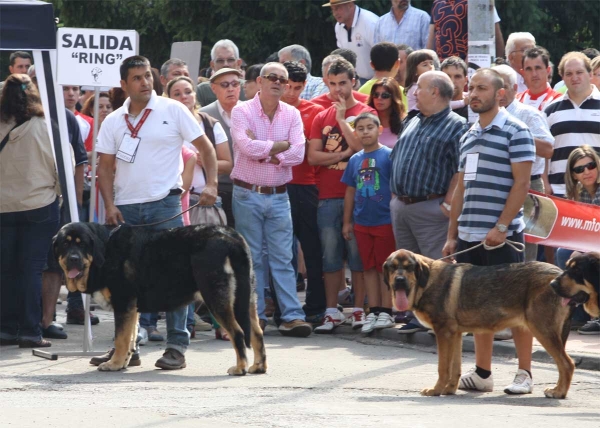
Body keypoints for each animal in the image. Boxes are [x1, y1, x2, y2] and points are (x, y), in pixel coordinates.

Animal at [54, 222, 268, 376]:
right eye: (65, 244)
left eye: (82, 244)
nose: (73, 258)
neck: (105, 250)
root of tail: (232, 237)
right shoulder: (132, 308)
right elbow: (130, 338)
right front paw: (123, 362)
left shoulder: (123, 303)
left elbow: (121, 339)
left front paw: (113, 364)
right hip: (246, 299)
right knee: (257, 332)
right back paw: (258, 366)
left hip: (216, 298)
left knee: (238, 332)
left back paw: (240, 368)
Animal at [384, 249, 596, 400]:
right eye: (393, 268)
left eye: (409, 267)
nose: (399, 280)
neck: (426, 283)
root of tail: (559, 275)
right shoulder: (455, 335)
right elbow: (455, 368)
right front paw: (450, 390)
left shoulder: (443, 333)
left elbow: (442, 367)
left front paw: (436, 390)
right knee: (563, 364)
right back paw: (559, 390)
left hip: (542, 330)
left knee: (567, 363)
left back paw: (559, 392)